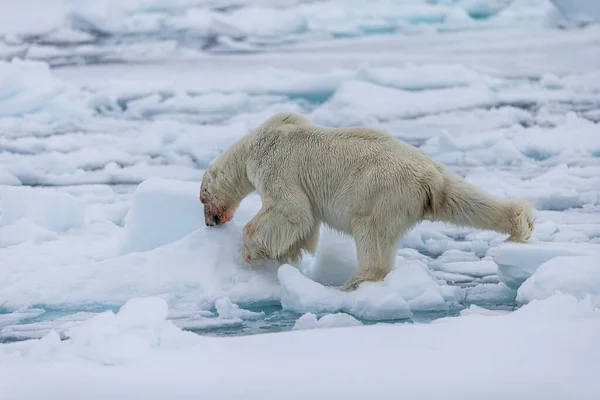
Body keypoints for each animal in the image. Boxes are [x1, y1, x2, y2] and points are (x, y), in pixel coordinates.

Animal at [200, 112, 536, 290]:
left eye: (203, 199)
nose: (210, 223)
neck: (253, 145)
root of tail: (427, 175)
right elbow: (306, 223)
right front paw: (286, 255)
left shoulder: (276, 165)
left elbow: (291, 209)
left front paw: (251, 251)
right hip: (436, 181)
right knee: (462, 199)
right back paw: (522, 221)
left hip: (379, 190)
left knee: (370, 232)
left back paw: (358, 280)